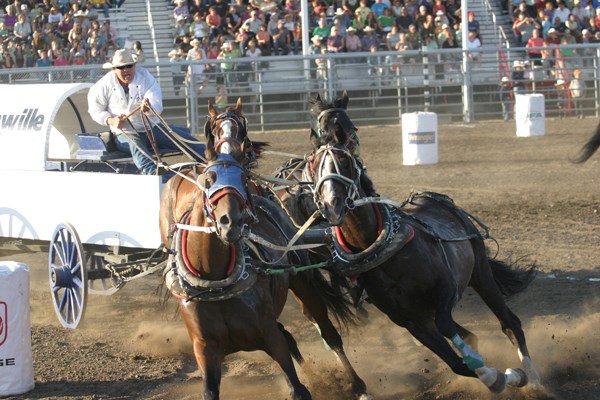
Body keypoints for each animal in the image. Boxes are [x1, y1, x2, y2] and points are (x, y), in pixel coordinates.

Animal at [276, 93, 548, 396]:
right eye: (315, 166)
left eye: (345, 162)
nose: (330, 205)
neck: (380, 249)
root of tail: (435, 197)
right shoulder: (410, 321)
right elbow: (457, 364)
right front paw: (493, 375)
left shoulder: (446, 288)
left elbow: (448, 327)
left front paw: (503, 374)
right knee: (472, 334)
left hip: (480, 272)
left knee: (509, 323)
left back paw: (534, 379)